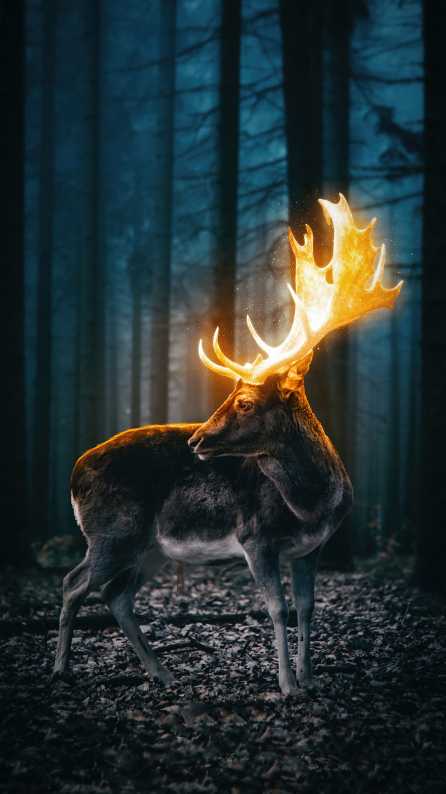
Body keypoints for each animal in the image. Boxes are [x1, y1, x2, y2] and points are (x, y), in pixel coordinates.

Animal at [53, 195, 402, 695]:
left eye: (246, 402)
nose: (197, 439)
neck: (311, 505)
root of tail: (74, 472)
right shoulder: (255, 538)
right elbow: (277, 608)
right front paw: (287, 686)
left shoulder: (311, 549)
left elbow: (308, 608)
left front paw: (310, 678)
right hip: (112, 531)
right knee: (73, 582)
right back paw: (62, 668)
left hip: (151, 547)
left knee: (116, 595)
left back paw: (163, 672)